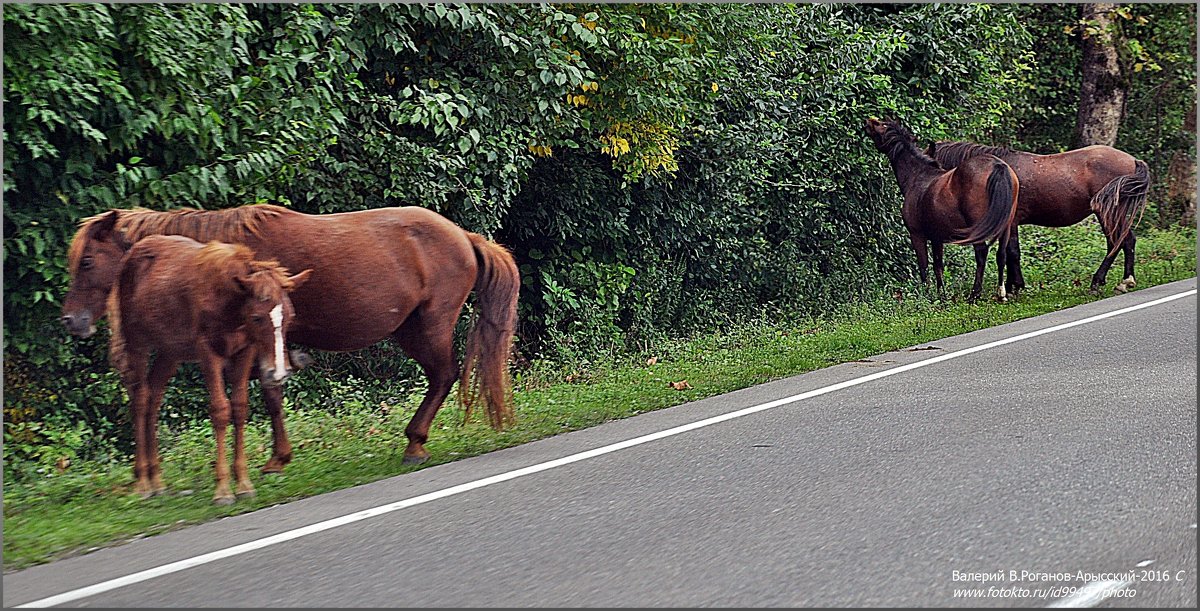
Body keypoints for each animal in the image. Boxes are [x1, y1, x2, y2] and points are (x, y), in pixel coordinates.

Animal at [62, 202, 520, 463]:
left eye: (86, 260)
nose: (71, 320)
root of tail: (464, 236)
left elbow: (267, 395)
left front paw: (274, 458)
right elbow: (268, 393)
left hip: (431, 325)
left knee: (444, 376)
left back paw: (414, 442)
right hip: (409, 330)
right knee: (440, 377)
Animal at [109, 232, 309, 499]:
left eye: (290, 315)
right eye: (257, 317)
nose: (277, 372)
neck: (230, 304)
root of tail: (129, 256)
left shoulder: (245, 350)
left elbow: (239, 408)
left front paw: (243, 483)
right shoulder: (208, 352)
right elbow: (220, 410)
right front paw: (223, 489)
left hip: (170, 351)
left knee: (153, 398)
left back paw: (157, 479)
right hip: (137, 342)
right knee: (140, 400)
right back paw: (142, 481)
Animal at [864, 117, 1022, 301]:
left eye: (882, 125)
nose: (868, 121)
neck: (917, 177)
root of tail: (998, 166)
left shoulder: (917, 235)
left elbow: (924, 266)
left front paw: (927, 296)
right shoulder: (936, 237)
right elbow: (938, 265)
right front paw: (942, 295)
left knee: (982, 253)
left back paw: (974, 294)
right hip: (1005, 226)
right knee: (1001, 254)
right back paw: (1001, 293)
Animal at [926, 139, 1152, 294]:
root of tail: (1133, 161)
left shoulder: (1011, 222)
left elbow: (1012, 252)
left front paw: (1014, 287)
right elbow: (1011, 252)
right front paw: (1013, 285)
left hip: (1107, 212)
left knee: (1118, 242)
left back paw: (1102, 281)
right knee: (1126, 241)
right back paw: (1125, 281)